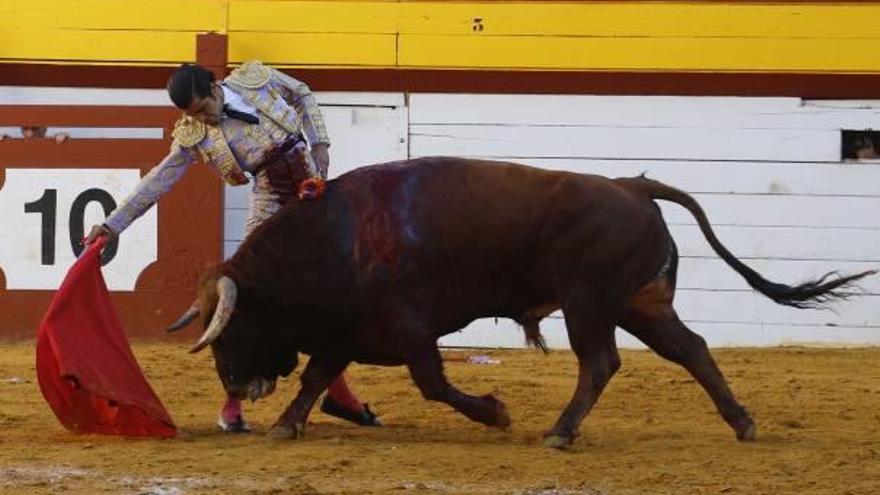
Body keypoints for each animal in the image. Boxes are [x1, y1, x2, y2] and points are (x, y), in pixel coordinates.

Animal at [167, 158, 872, 450]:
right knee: (692, 349)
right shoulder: (347, 330)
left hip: (589, 304)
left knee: (600, 363)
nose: (236, 387)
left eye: (234, 327)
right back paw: (743, 423)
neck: (337, 236)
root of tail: (631, 186)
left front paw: (496, 413)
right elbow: (316, 377)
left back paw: (560, 431)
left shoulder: (410, 326)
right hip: (641, 305)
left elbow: (431, 382)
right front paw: (287, 424)